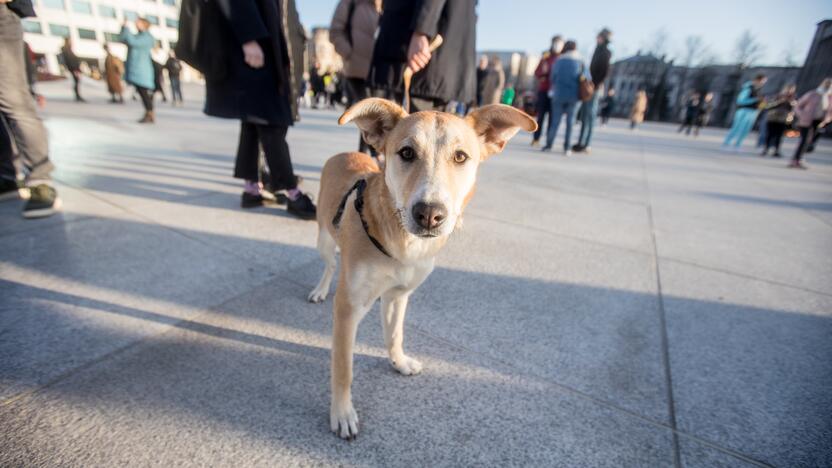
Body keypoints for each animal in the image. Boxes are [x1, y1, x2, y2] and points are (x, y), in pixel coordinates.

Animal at [308, 98, 536, 438]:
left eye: (460, 157)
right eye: (406, 153)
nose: (429, 214)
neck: (402, 244)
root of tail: (346, 153)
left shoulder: (398, 295)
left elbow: (395, 334)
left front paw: (399, 362)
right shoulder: (349, 306)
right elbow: (343, 368)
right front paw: (342, 413)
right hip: (324, 235)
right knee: (329, 264)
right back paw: (320, 289)